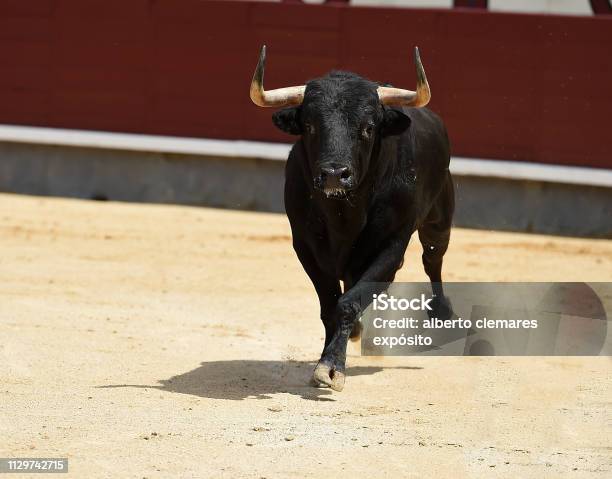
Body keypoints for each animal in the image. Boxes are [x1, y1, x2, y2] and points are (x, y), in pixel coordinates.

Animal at [250, 49, 454, 394]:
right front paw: (330, 358)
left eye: (368, 128)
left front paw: (332, 367)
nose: (334, 174)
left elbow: (348, 302)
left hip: (439, 221)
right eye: (309, 125)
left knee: (433, 259)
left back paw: (440, 312)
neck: (343, 215)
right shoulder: (306, 247)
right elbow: (330, 306)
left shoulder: (391, 248)